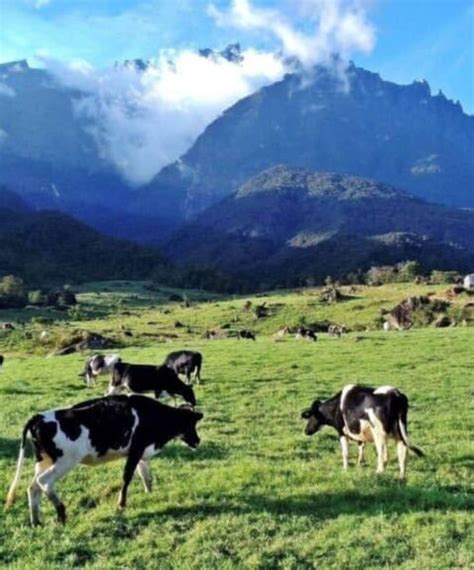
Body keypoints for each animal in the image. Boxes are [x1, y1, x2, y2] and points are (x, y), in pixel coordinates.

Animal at [5, 395, 203, 525]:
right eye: (191, 423)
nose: (197, 441)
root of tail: (38, 417)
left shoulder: (139, 451)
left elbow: (145, 474)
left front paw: (150, 493)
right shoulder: (136, 449)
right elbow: (128, 476)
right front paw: (121, 504)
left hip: (44, 461)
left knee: (33, 488)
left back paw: (36, 521)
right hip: (65, 461)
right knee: (44, 481)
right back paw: (61, 513)